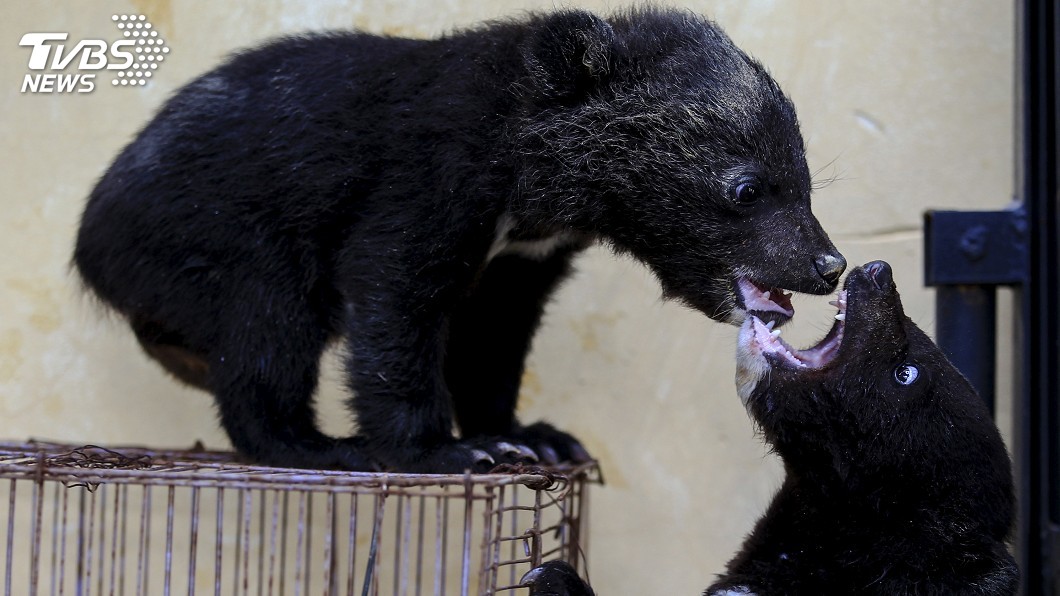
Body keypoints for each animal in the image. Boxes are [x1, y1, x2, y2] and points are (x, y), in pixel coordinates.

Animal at [73, 7, 846, 473]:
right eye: (747, 189)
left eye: (806, 184)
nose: (828, 266)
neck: (536, 185)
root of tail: (90, 237)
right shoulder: (430, 177)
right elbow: (393, 288)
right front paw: (448, 452)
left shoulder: (524, 258)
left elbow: (493, 334)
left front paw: (533, 437)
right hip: (210, 239)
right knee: (270, 326)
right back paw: (316, 445)